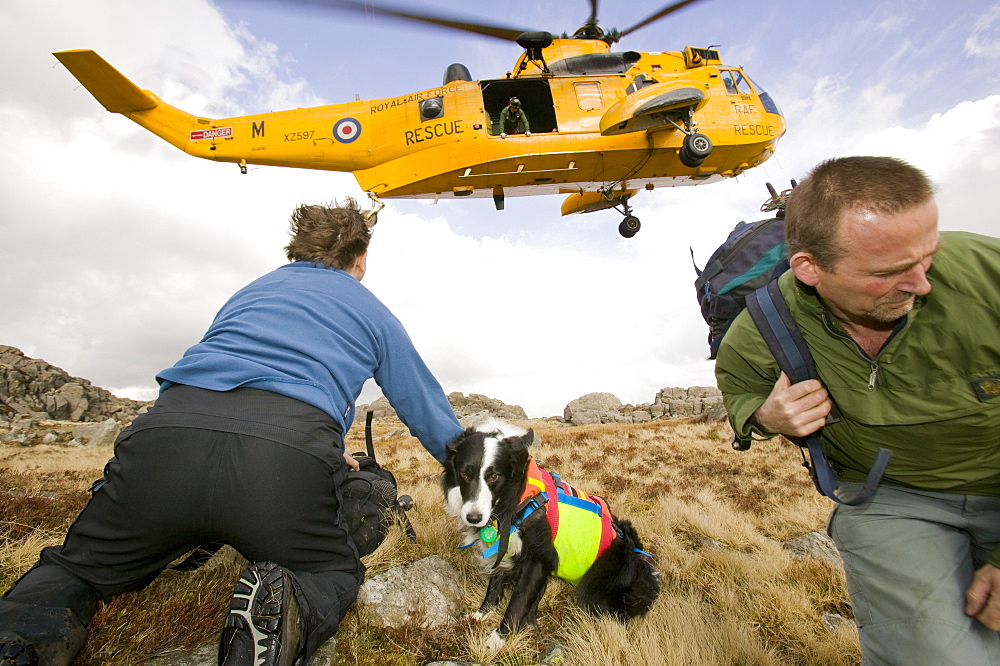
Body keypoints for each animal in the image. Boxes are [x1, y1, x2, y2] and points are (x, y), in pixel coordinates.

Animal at [442, 416, 660, 644]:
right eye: (464, 474)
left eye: (494, 477)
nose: (474, 518)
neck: (520, 496)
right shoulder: (504, 547)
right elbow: (495, 585)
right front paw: (480, 615)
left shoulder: (537, 558)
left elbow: (518, 601)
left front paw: (498, 640)